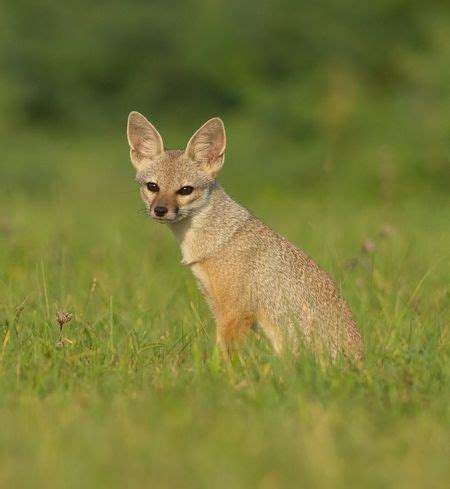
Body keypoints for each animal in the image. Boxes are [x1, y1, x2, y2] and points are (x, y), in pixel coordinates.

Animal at [125, 112, 362, 360]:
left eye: (185, 190)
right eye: (153, 186)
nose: (160, 210)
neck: (219, 238)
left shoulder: (235, 311)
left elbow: (223, 358)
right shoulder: (216, 304)